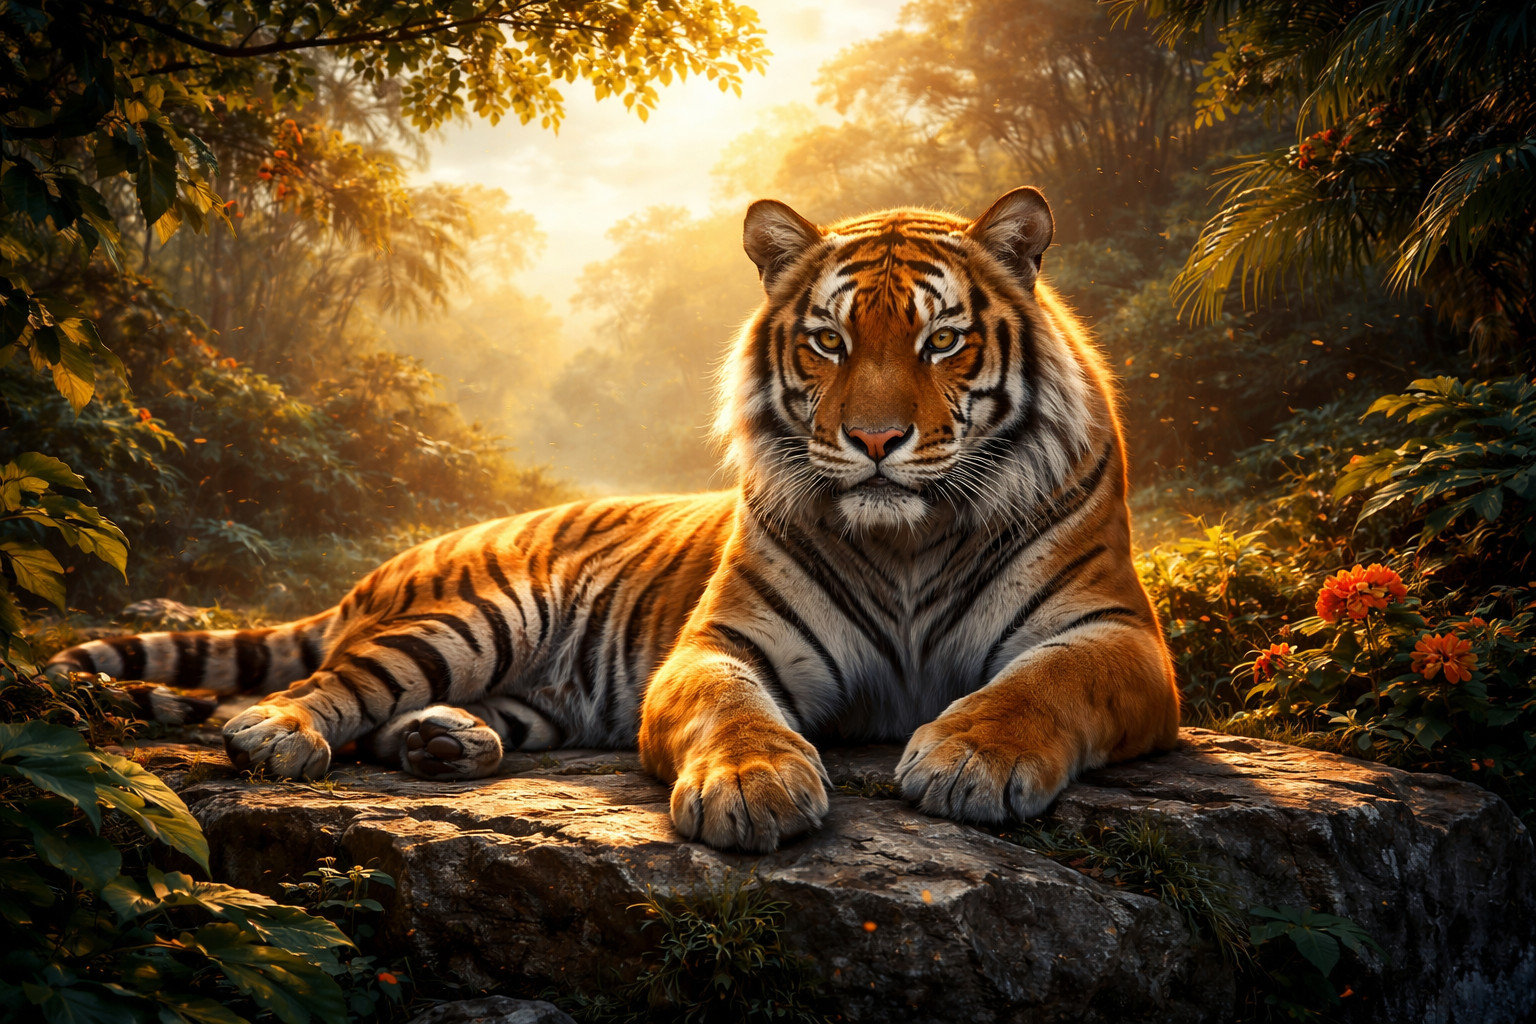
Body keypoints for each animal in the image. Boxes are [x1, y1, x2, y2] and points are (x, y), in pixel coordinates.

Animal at [48, 187, 1180, 853]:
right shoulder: (721, 644)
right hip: (471, 617)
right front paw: (754, 789)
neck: (906, 540)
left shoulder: (1115, 636)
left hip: (545, 696)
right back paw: (278, 734)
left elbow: (1039, 684)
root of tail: (385, 567)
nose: (873, 439)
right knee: (332, 686)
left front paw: (968, 759)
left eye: (943, 339)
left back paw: (444, 742)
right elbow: (731, 710)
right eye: (828, 340)